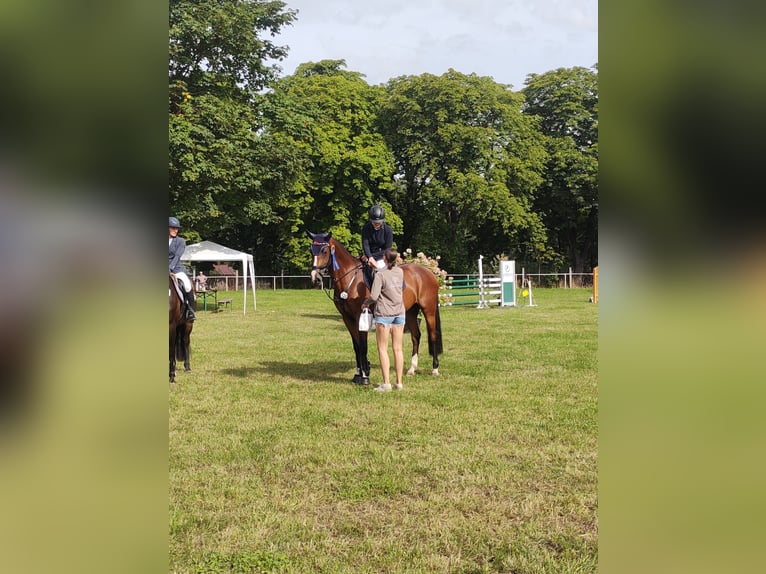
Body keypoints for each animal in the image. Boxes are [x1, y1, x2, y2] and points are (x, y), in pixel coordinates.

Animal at [307, 231, 442, 385]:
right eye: (311, 251)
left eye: (324, 251)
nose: (315, 279)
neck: (350, 279)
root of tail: (428, 272)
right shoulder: (347, 318)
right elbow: (356, 346)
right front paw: (358, 373)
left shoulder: (361, 316)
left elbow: (363, 346)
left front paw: (365, 375)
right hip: (410, 312)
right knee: (416, 336)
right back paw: (412, 369)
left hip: (428, 310)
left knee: (432, 335)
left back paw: (435, 369)